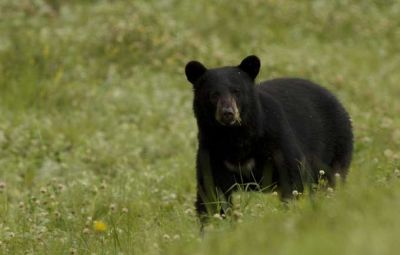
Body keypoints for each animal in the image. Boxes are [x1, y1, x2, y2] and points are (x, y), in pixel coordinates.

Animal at [185, 55, 354, 221]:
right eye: (213, 95)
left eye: (236, 91)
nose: (227, 113)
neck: (234, 136)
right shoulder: (212, 150)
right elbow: (211, 189)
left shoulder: (275, 138)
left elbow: (292, 175)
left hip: (335, 149)